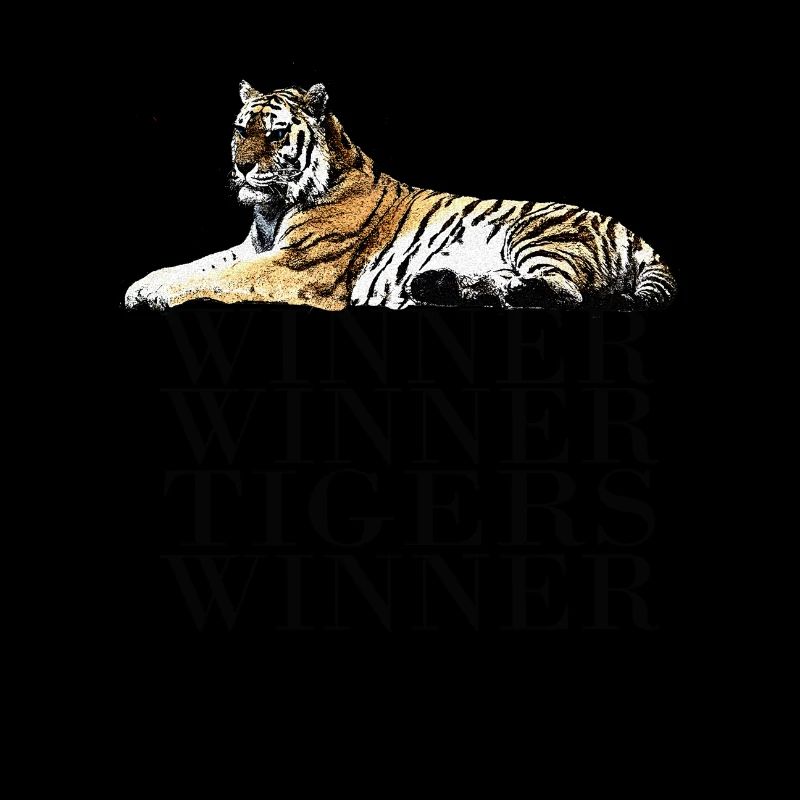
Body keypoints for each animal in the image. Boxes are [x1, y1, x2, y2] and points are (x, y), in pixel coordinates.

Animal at [124, 81, 676, 312]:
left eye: (277, 134)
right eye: (241, 129)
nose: (241, 167)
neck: (272, 208)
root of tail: (630, 230)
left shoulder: (294, 267)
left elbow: (221, 279)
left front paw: (158, 295)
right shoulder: (252, 248)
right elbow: (198, 264)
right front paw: (142, 285)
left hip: (538, 235)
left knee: (567, 293)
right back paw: (441, 286)